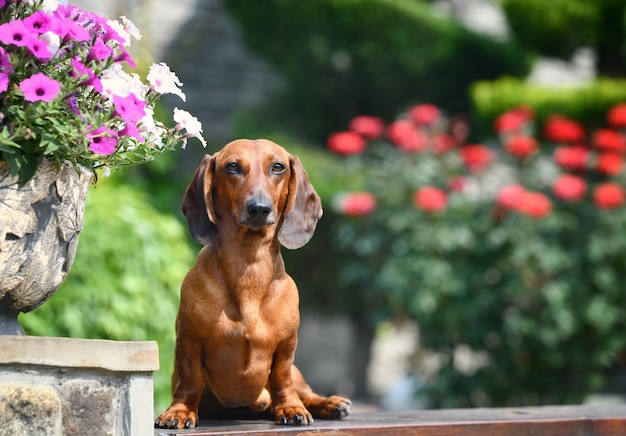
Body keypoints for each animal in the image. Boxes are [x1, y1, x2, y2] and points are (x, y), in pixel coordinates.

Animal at [155, 140, 352, 430]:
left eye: (278, 167)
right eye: (232, 167)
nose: (259, 208)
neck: (249, 266)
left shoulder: (287, 347)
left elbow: (281, 378)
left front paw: (290, 408)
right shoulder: (189, 340)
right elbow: (190, 379)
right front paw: (179, 411)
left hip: (298, 375)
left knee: (304, 392)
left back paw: (329, 403)